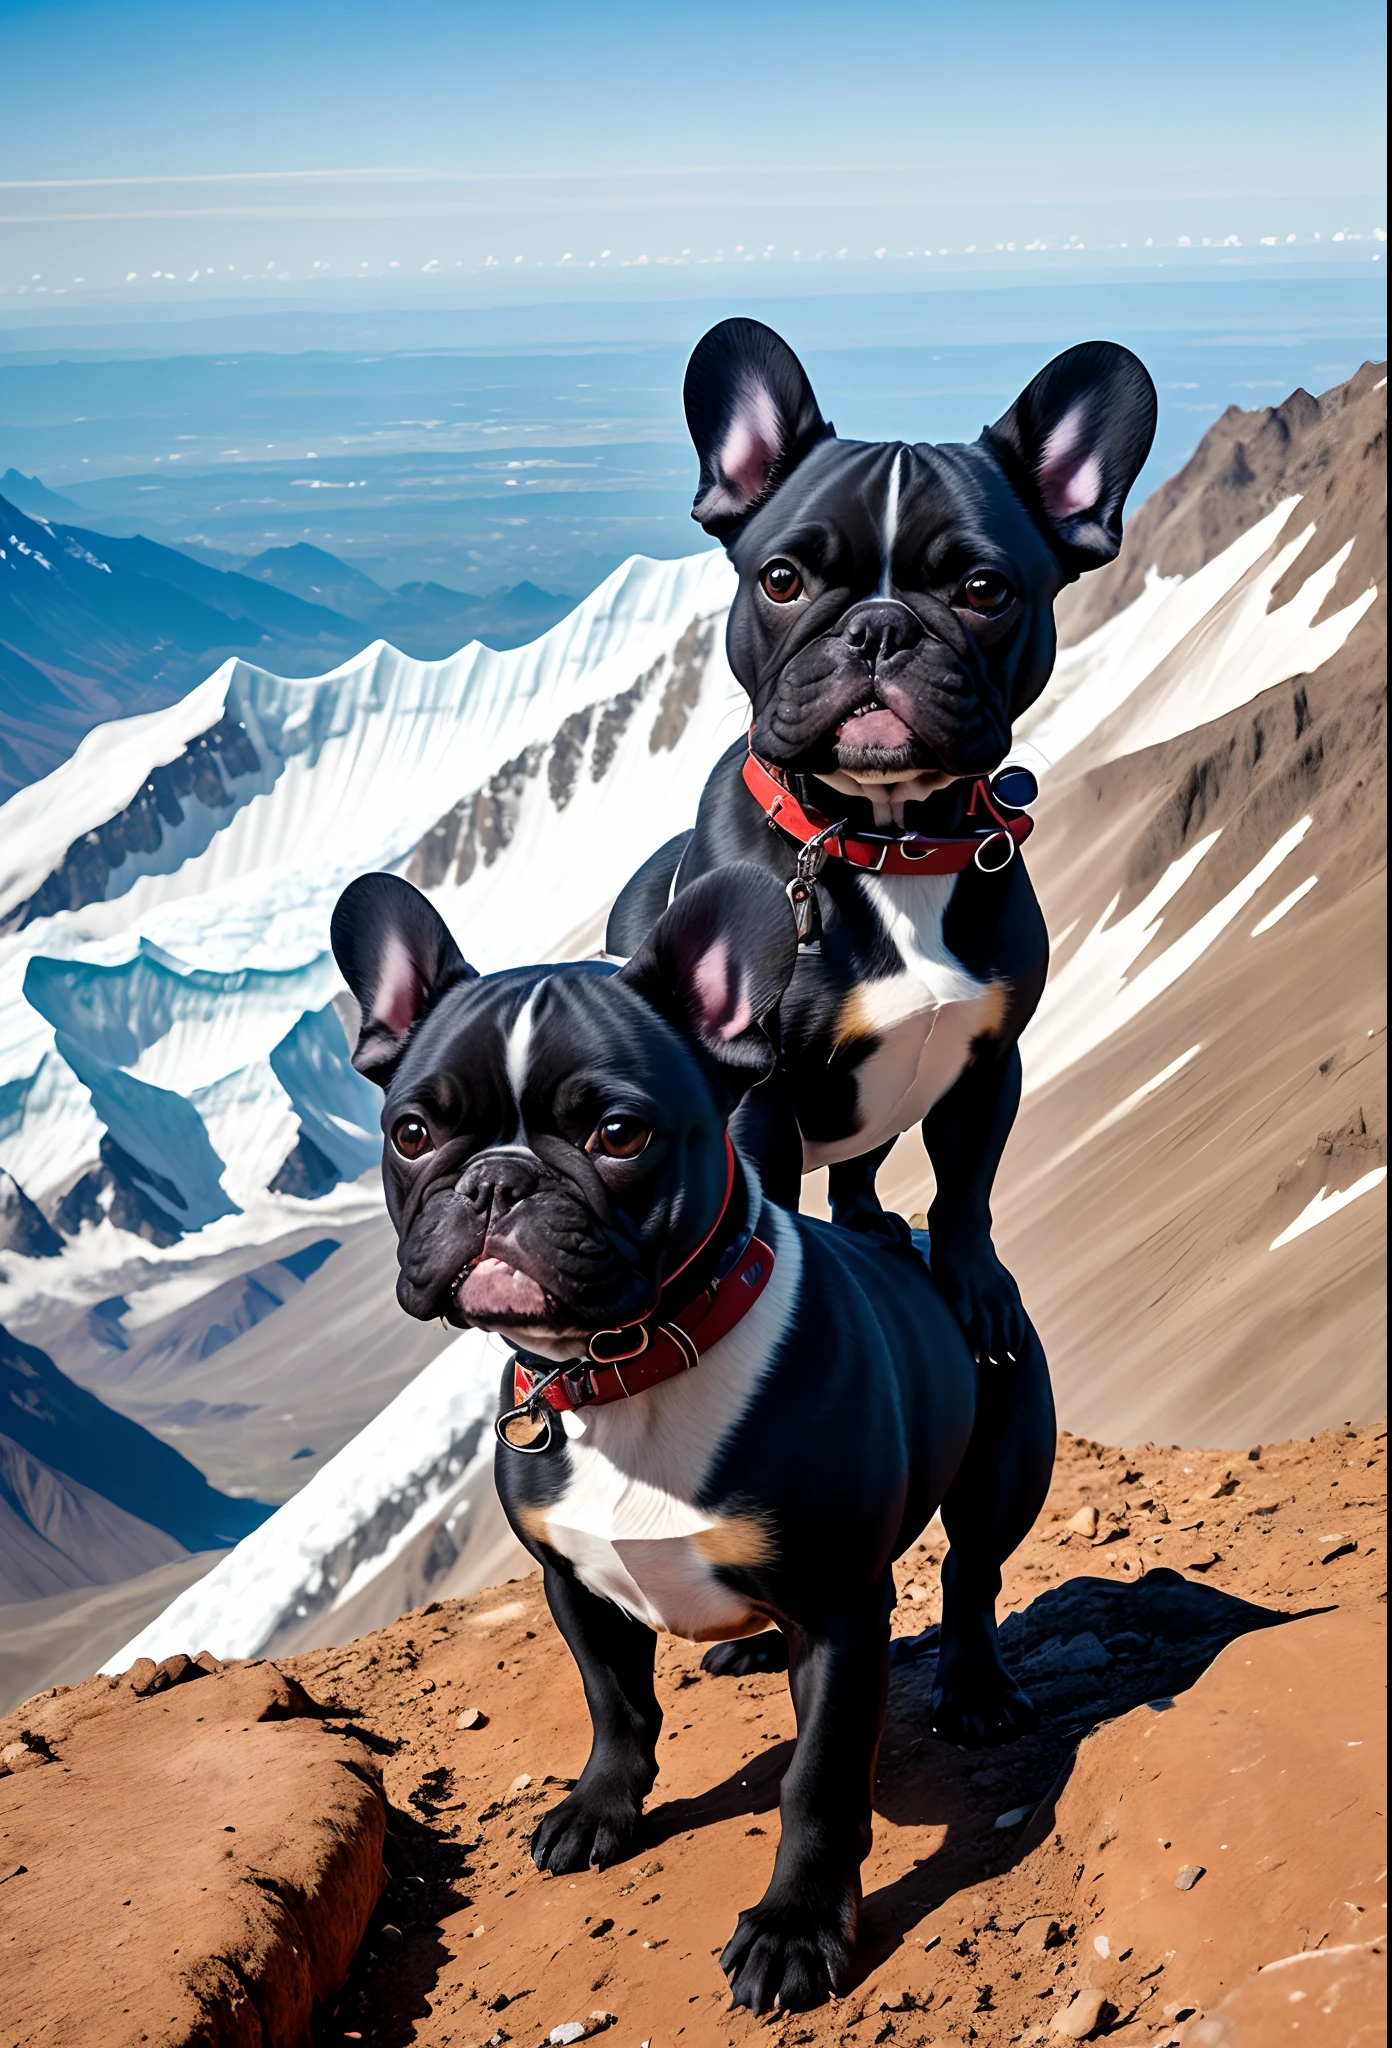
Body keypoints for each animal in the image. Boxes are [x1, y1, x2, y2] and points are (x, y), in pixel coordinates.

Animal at [331, 864, 1048, 2015]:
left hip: (1003, 1469)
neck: (630, 1367)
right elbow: (615, 1703)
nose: (496, 1178)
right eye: (410, 1133)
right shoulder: (573, 1580)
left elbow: (818, 1779)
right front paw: (600, 1810)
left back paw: (975, 1689)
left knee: (972, 1573)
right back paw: (753, 1643)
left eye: (620, 1135)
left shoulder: (841, 1611)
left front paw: (796, 1926)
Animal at [610, 319, 1154, 1376]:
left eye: (985, 589)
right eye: (783, 580)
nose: (879, 626)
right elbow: (770, 1212)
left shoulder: (988, 1064)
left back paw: (871, 1225)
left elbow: (968, 1190)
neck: (885, 843)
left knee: (863, 1174)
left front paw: (979, 1290)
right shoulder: (760, 1107)